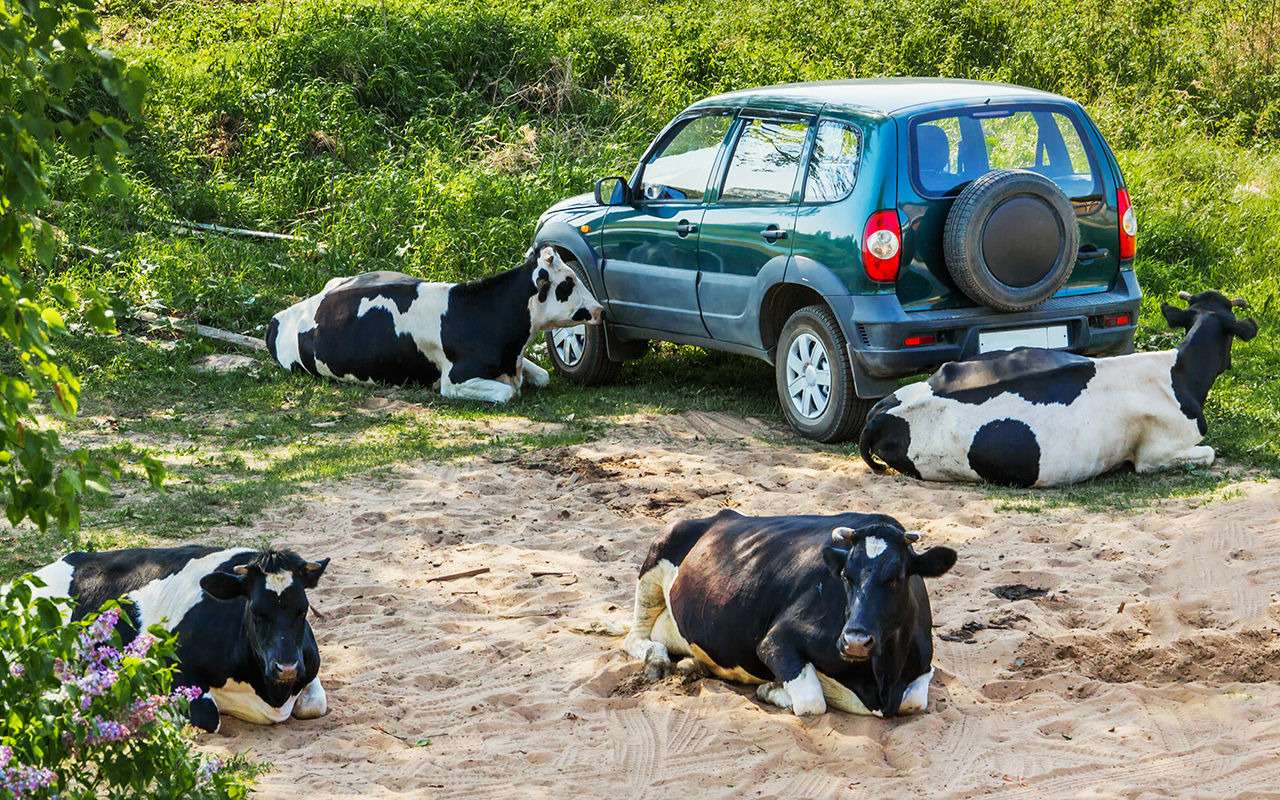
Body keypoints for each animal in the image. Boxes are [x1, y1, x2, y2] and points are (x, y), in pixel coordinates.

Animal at [31, 545, 330, 732]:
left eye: (303, 609)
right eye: (256, 611)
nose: (286, 668)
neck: (271, 695)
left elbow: (315, 705)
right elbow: (207, 716)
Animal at [266, 247, 604, 401]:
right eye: (569, 282)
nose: (599, 309)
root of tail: (278, 317)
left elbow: (543, 376)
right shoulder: (453, 381)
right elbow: (509, 393)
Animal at [624, 512, 957, 716]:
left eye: (896, 577)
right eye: (846, 576)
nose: (855, 641)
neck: (881, 680)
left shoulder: (924, 666)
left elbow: (914, 701)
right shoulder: (775, 641)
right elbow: (811, 700)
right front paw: (771, 688)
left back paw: (692, 664)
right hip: (661, 547)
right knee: (634, 637)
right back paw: (657, 658)